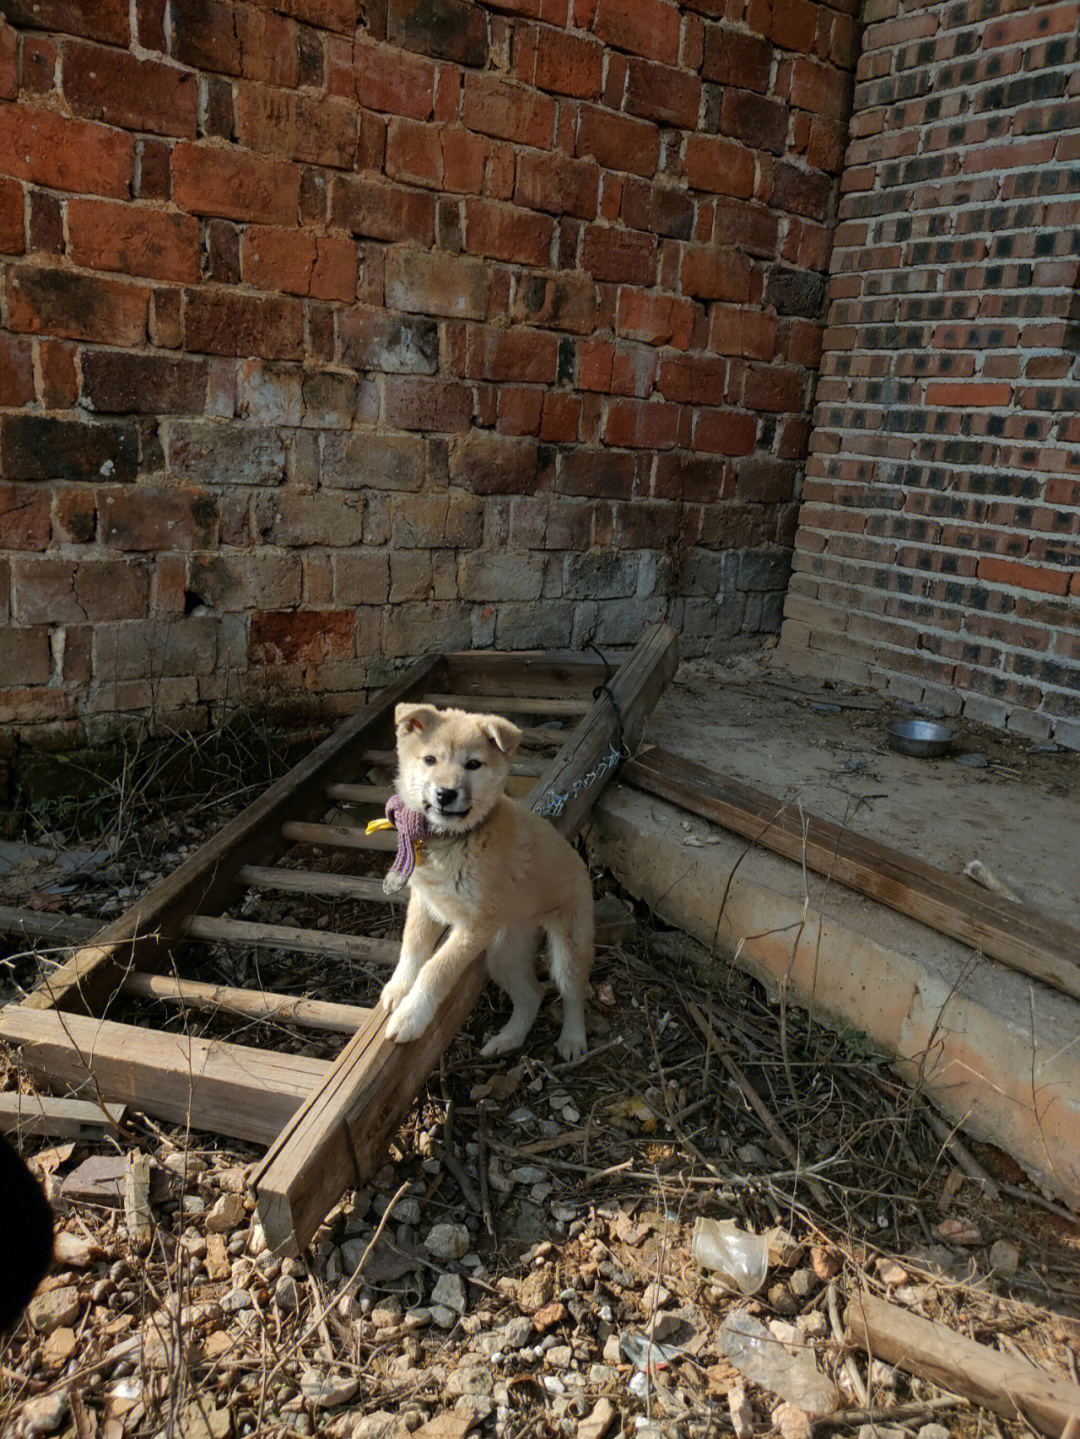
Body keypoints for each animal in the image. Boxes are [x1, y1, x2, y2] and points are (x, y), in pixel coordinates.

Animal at [379, 702, 595, 1064]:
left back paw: (573, 1039)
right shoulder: (424, 903)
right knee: (533, 994)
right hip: (504, 954)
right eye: (429, 760)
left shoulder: (475, 923)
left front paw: (411, 1016)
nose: (445, 794)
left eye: (473, 765)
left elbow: (437, 968)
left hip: (569, 947)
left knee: (573, 994)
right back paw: (507, 1039)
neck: (454, 840)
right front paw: (398, 989)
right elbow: (413, 947)